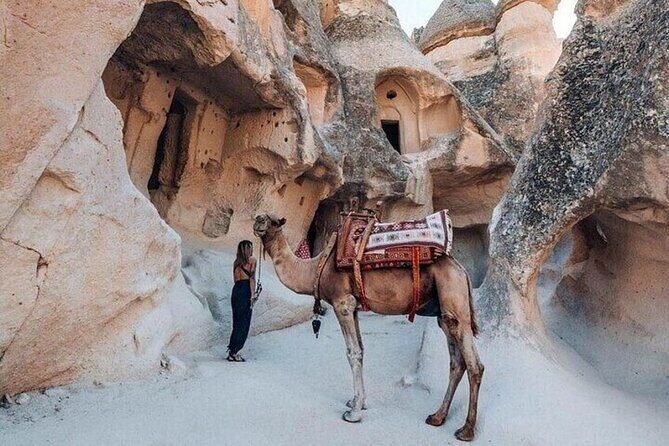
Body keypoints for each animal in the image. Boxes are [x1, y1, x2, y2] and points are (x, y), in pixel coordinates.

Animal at [253, 214, 484, 442]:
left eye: (274, 221)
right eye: (262, 216)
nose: (258, 220)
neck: (316, 267)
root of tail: (461, 270)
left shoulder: (342, 303)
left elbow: (352, 353)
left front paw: (353, 413)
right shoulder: (354, 307)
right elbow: (362, 350)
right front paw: (358, 401)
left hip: (453, 295)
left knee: (475, 365)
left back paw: (466, 430)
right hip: (444, 309)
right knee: (456, 362)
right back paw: (437, 417)